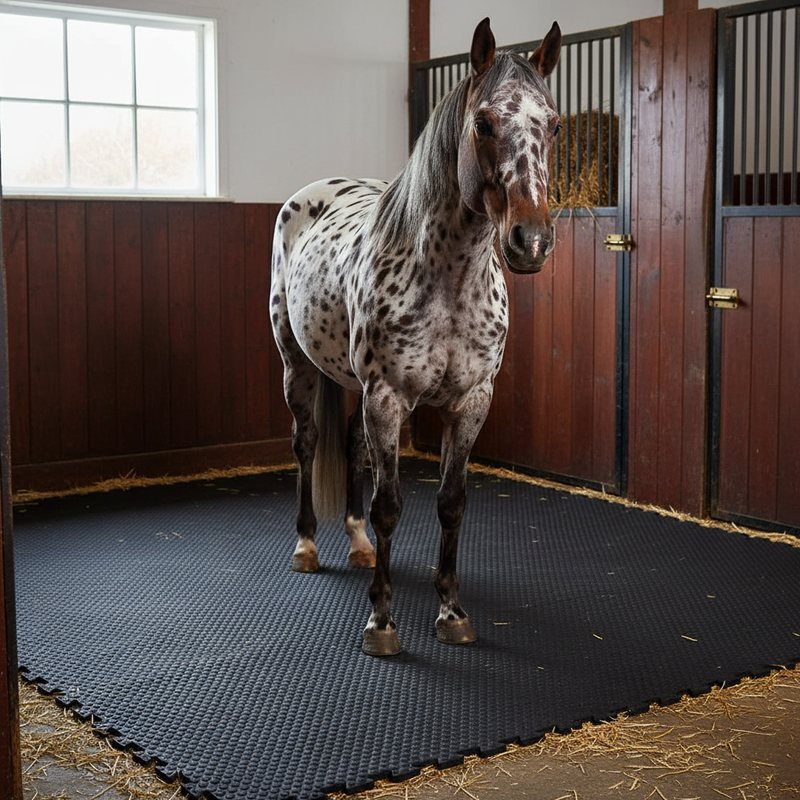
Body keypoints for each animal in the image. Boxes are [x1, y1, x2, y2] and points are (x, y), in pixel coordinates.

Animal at [270, 18, 562, 656]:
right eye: (483, 122)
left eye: (553, 124)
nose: (530, 241)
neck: (450, 278)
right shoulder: (388, 398)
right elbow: (390, 505)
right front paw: (381, 623)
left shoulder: (471, 402)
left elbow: (451, 504)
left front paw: (452, 612)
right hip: (298, 367)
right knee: (307, 444)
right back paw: (307, 545)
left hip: (352, 385)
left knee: (351, 447)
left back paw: (357, 544)